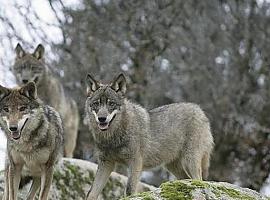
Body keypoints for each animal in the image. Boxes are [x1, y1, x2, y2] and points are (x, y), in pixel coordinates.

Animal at [85, 74, 214, 200]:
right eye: (96, 104)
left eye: (111, 103)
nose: (102, 119)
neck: (112, 137)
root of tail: (199, 110)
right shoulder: (106, 163)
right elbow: (91, 193)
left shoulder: (135, 162)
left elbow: (130, 190)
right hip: (173, 166)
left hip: (190, 161)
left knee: (199, 180)